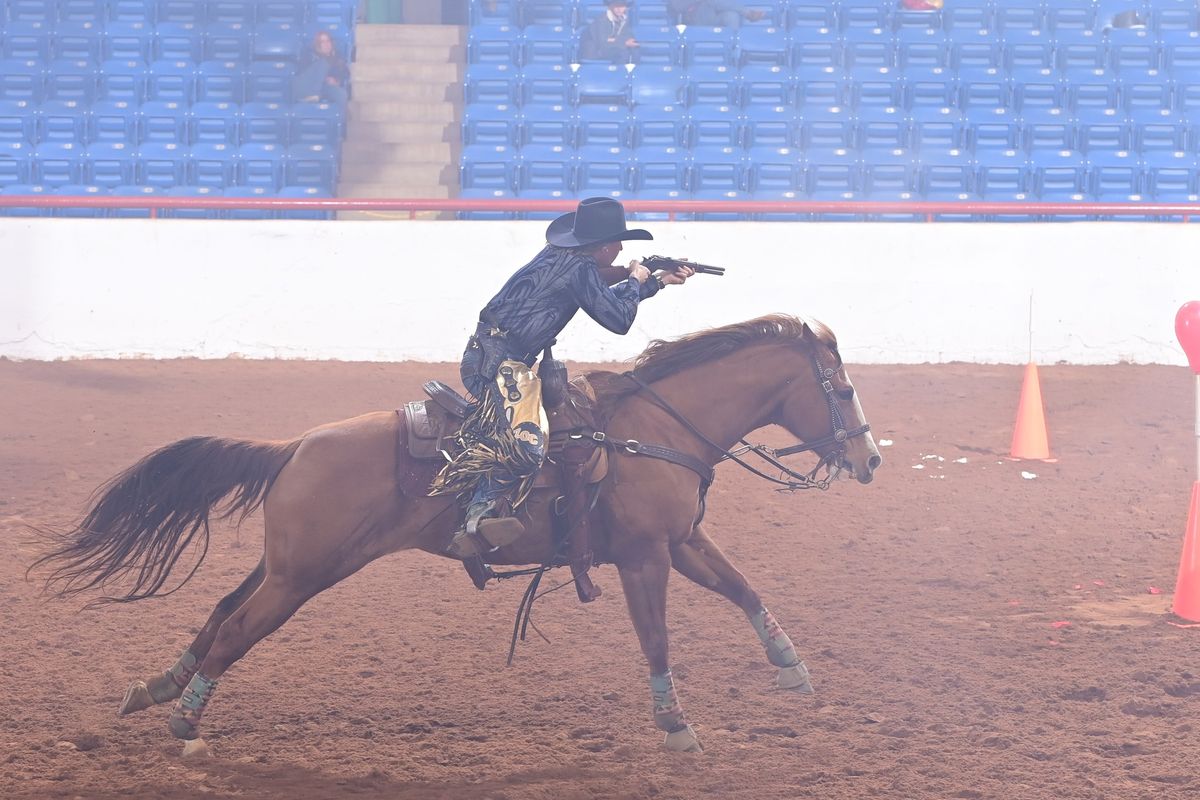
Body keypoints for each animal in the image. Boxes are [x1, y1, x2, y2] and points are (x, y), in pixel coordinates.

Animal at [32, 316, 883, 753]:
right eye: (841, 389)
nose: (871, 458)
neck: (649, 431)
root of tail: (297, 445)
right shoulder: (646, 558)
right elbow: (657, 639)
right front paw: (676, 726)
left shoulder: (680, 543)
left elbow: (744, 587)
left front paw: (792, 667)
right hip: (303, 574)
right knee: (237, 628)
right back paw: (185, 721)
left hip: (287, 565)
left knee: (218, 614)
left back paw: (158, 688)